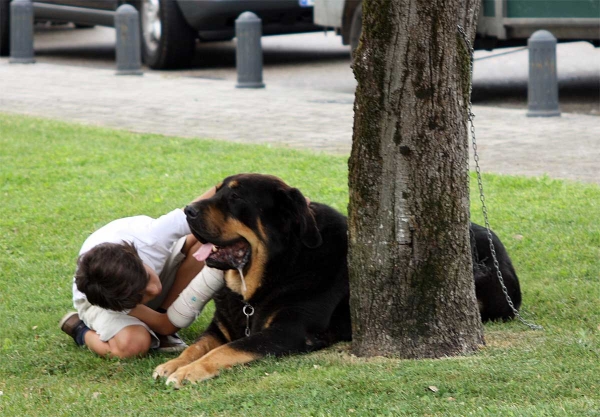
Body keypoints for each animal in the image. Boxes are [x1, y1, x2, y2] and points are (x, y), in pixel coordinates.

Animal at [154, 174, 520, 386]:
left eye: (234, 198)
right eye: (216, 192)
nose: (187, 211)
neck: (283, 266)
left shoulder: (288, 332)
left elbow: (228, 349)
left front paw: (189, 372)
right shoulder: (222, 326)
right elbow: (203, 345)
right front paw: (174, 364)